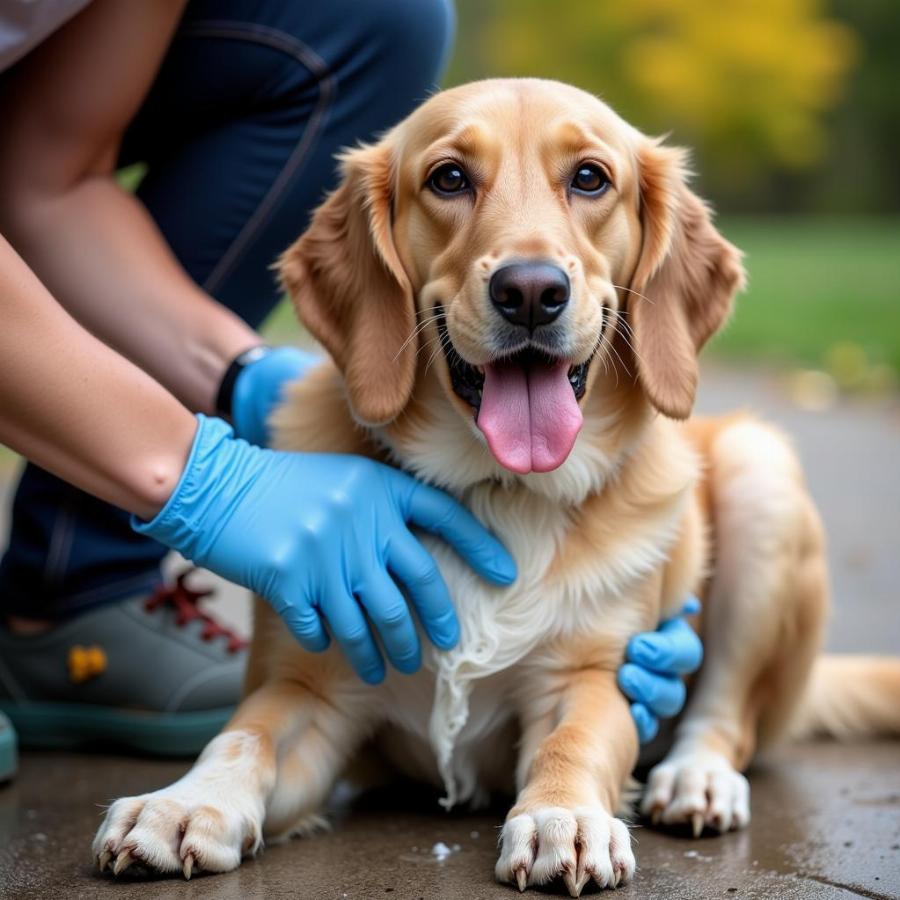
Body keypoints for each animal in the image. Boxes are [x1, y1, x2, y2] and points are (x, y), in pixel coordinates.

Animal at [93, 77, 900, 892]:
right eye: (449, 178)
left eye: (590, 178)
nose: (532, 291)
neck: (499, 491)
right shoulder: (311, 693)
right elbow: (243, 735)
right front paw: (183, 803)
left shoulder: (591, 679)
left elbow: (572, 745)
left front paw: (563, 816)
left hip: (760, 475)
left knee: (727, 715)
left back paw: (696, 779)